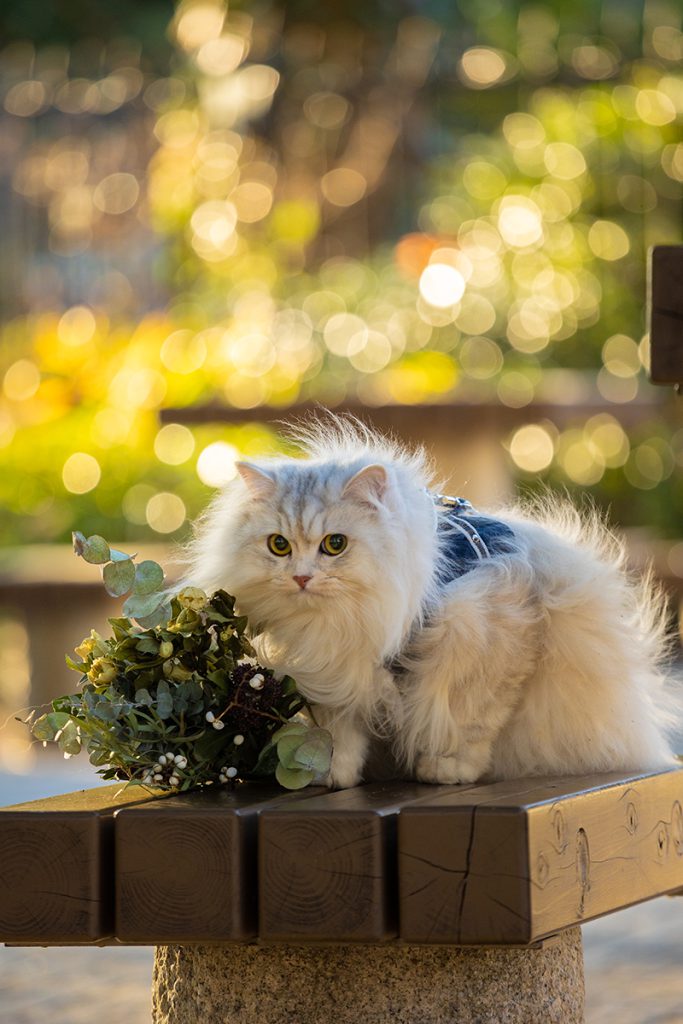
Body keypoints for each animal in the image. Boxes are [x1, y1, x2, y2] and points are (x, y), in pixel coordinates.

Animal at [183, 411, 679, 786]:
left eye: (335, 545)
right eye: (279, 546)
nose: (302, 578)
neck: (343, 620)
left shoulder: (489, 630)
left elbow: (468, 719)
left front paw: (448, 768)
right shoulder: (335, 674)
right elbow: (340, 734)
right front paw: (331, 774)